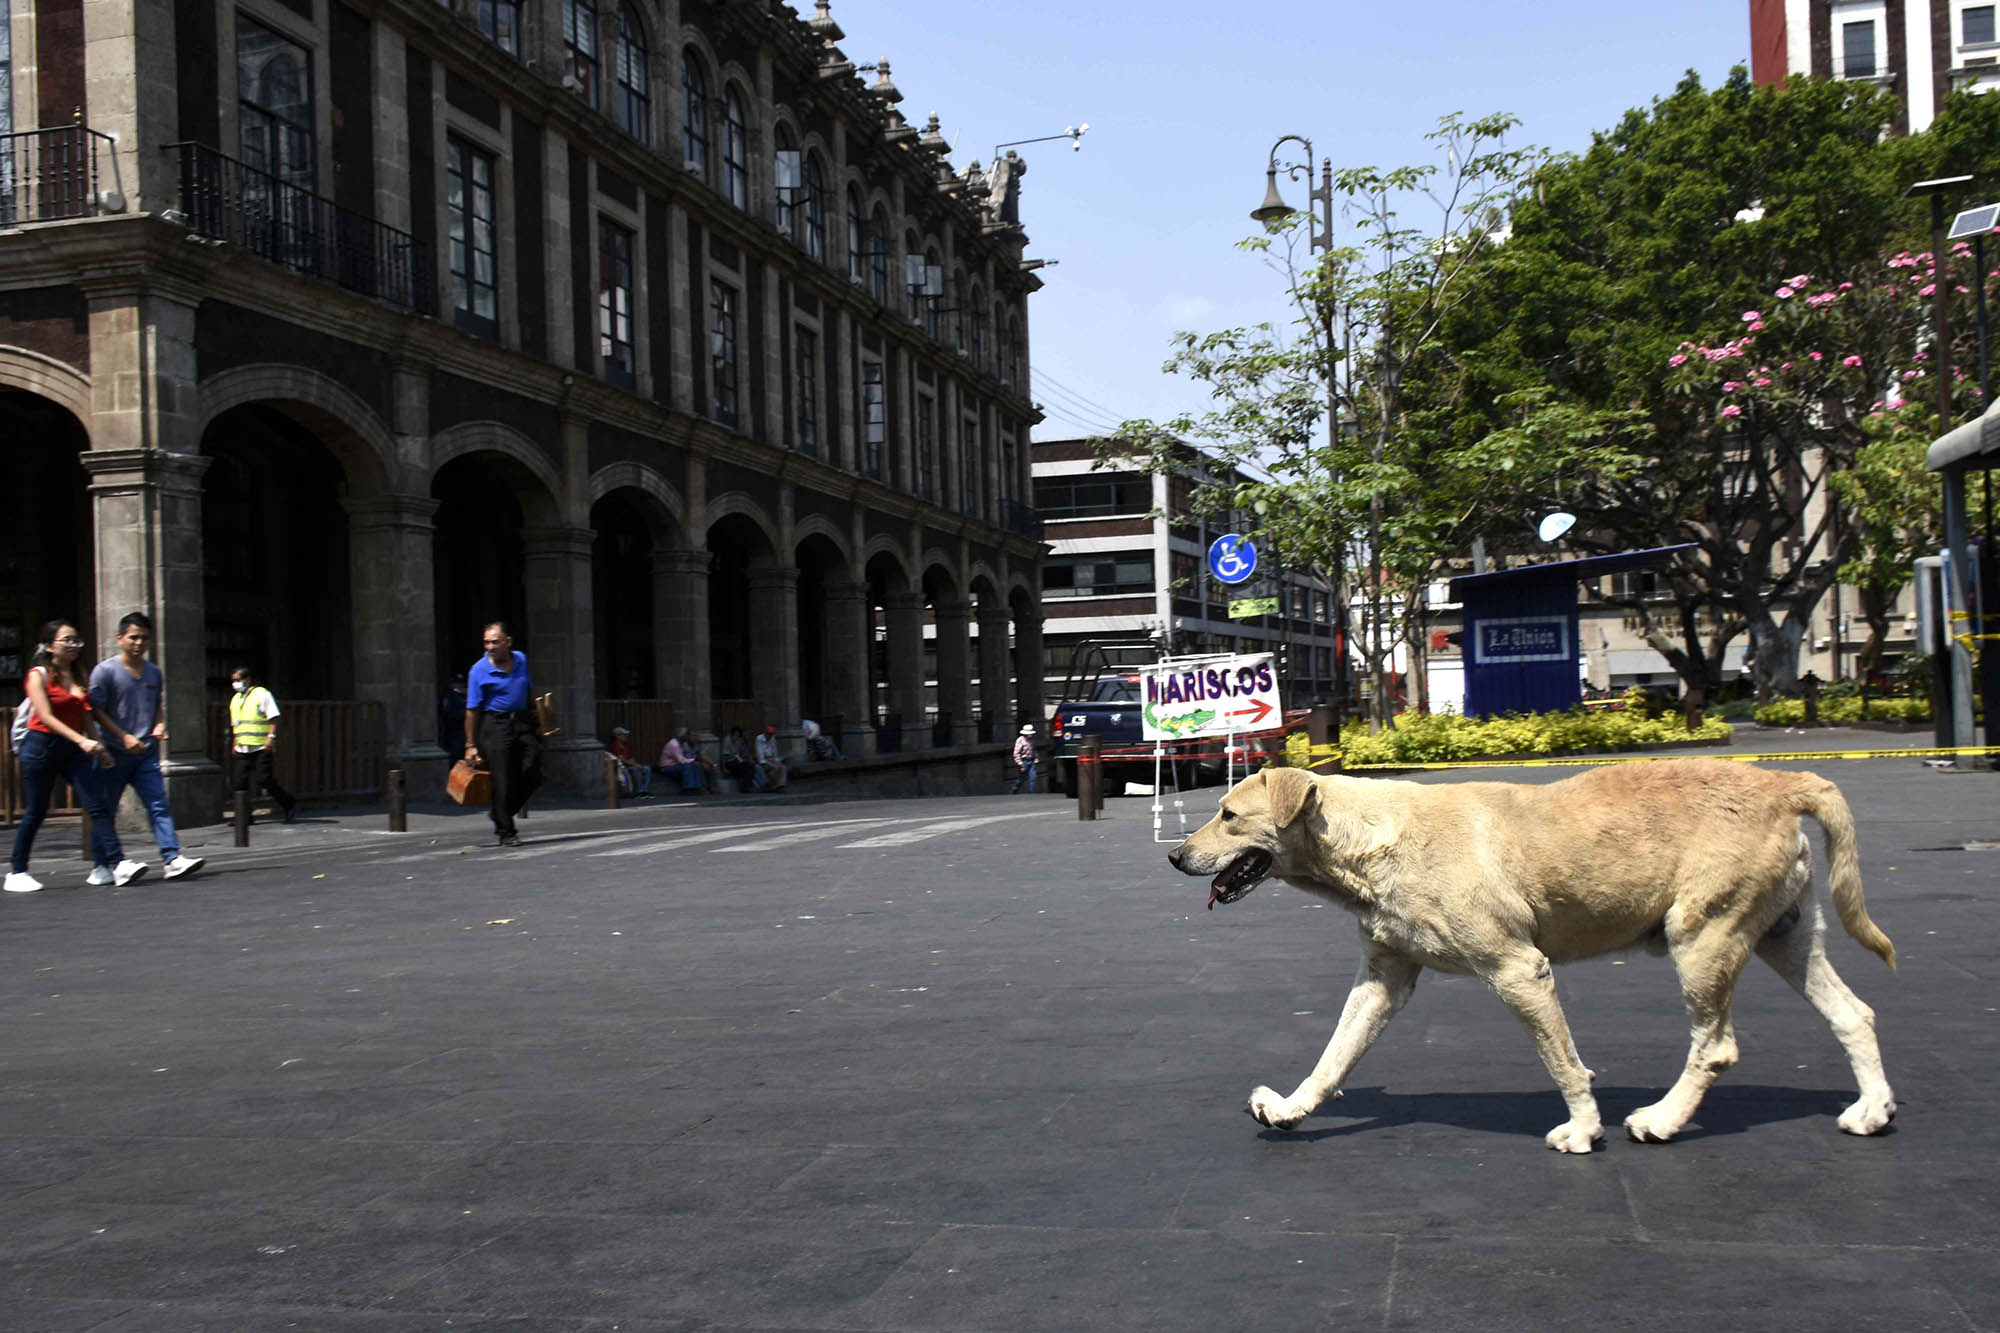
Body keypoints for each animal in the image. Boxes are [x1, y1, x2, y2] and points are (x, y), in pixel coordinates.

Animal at [1176, 752, 1896, 1144]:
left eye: (1229, 814)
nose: (1174, 854)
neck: (1371, 842)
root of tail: (1784, 782)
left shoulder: (1518, 969)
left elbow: (1563, 1063)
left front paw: (1583, 1127)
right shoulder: (1384, 976)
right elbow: (1333, 1056)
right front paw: (1290, 1108)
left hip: (1703, 935)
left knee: (1715, 1046)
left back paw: (1663, 1119)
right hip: (1784, 934)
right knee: (1855, 1013)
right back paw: (1871, 1108)